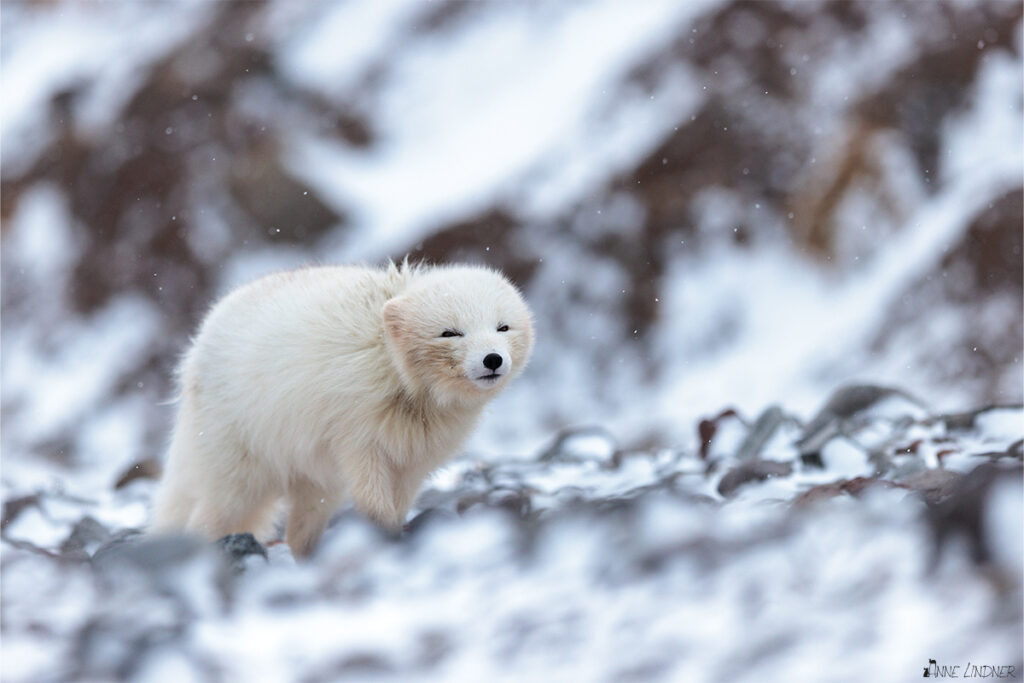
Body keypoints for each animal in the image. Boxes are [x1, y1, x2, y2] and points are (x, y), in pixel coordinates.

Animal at [153, 260, 536, 557]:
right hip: (239, 476)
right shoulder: (359, 443)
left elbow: (398, 506)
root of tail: (199, 342)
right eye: (450, 333)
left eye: (502, 327)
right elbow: (376, 508)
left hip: (316, 482)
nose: (492, 359)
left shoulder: (413, 461)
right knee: (205, 520)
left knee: (298, 533)